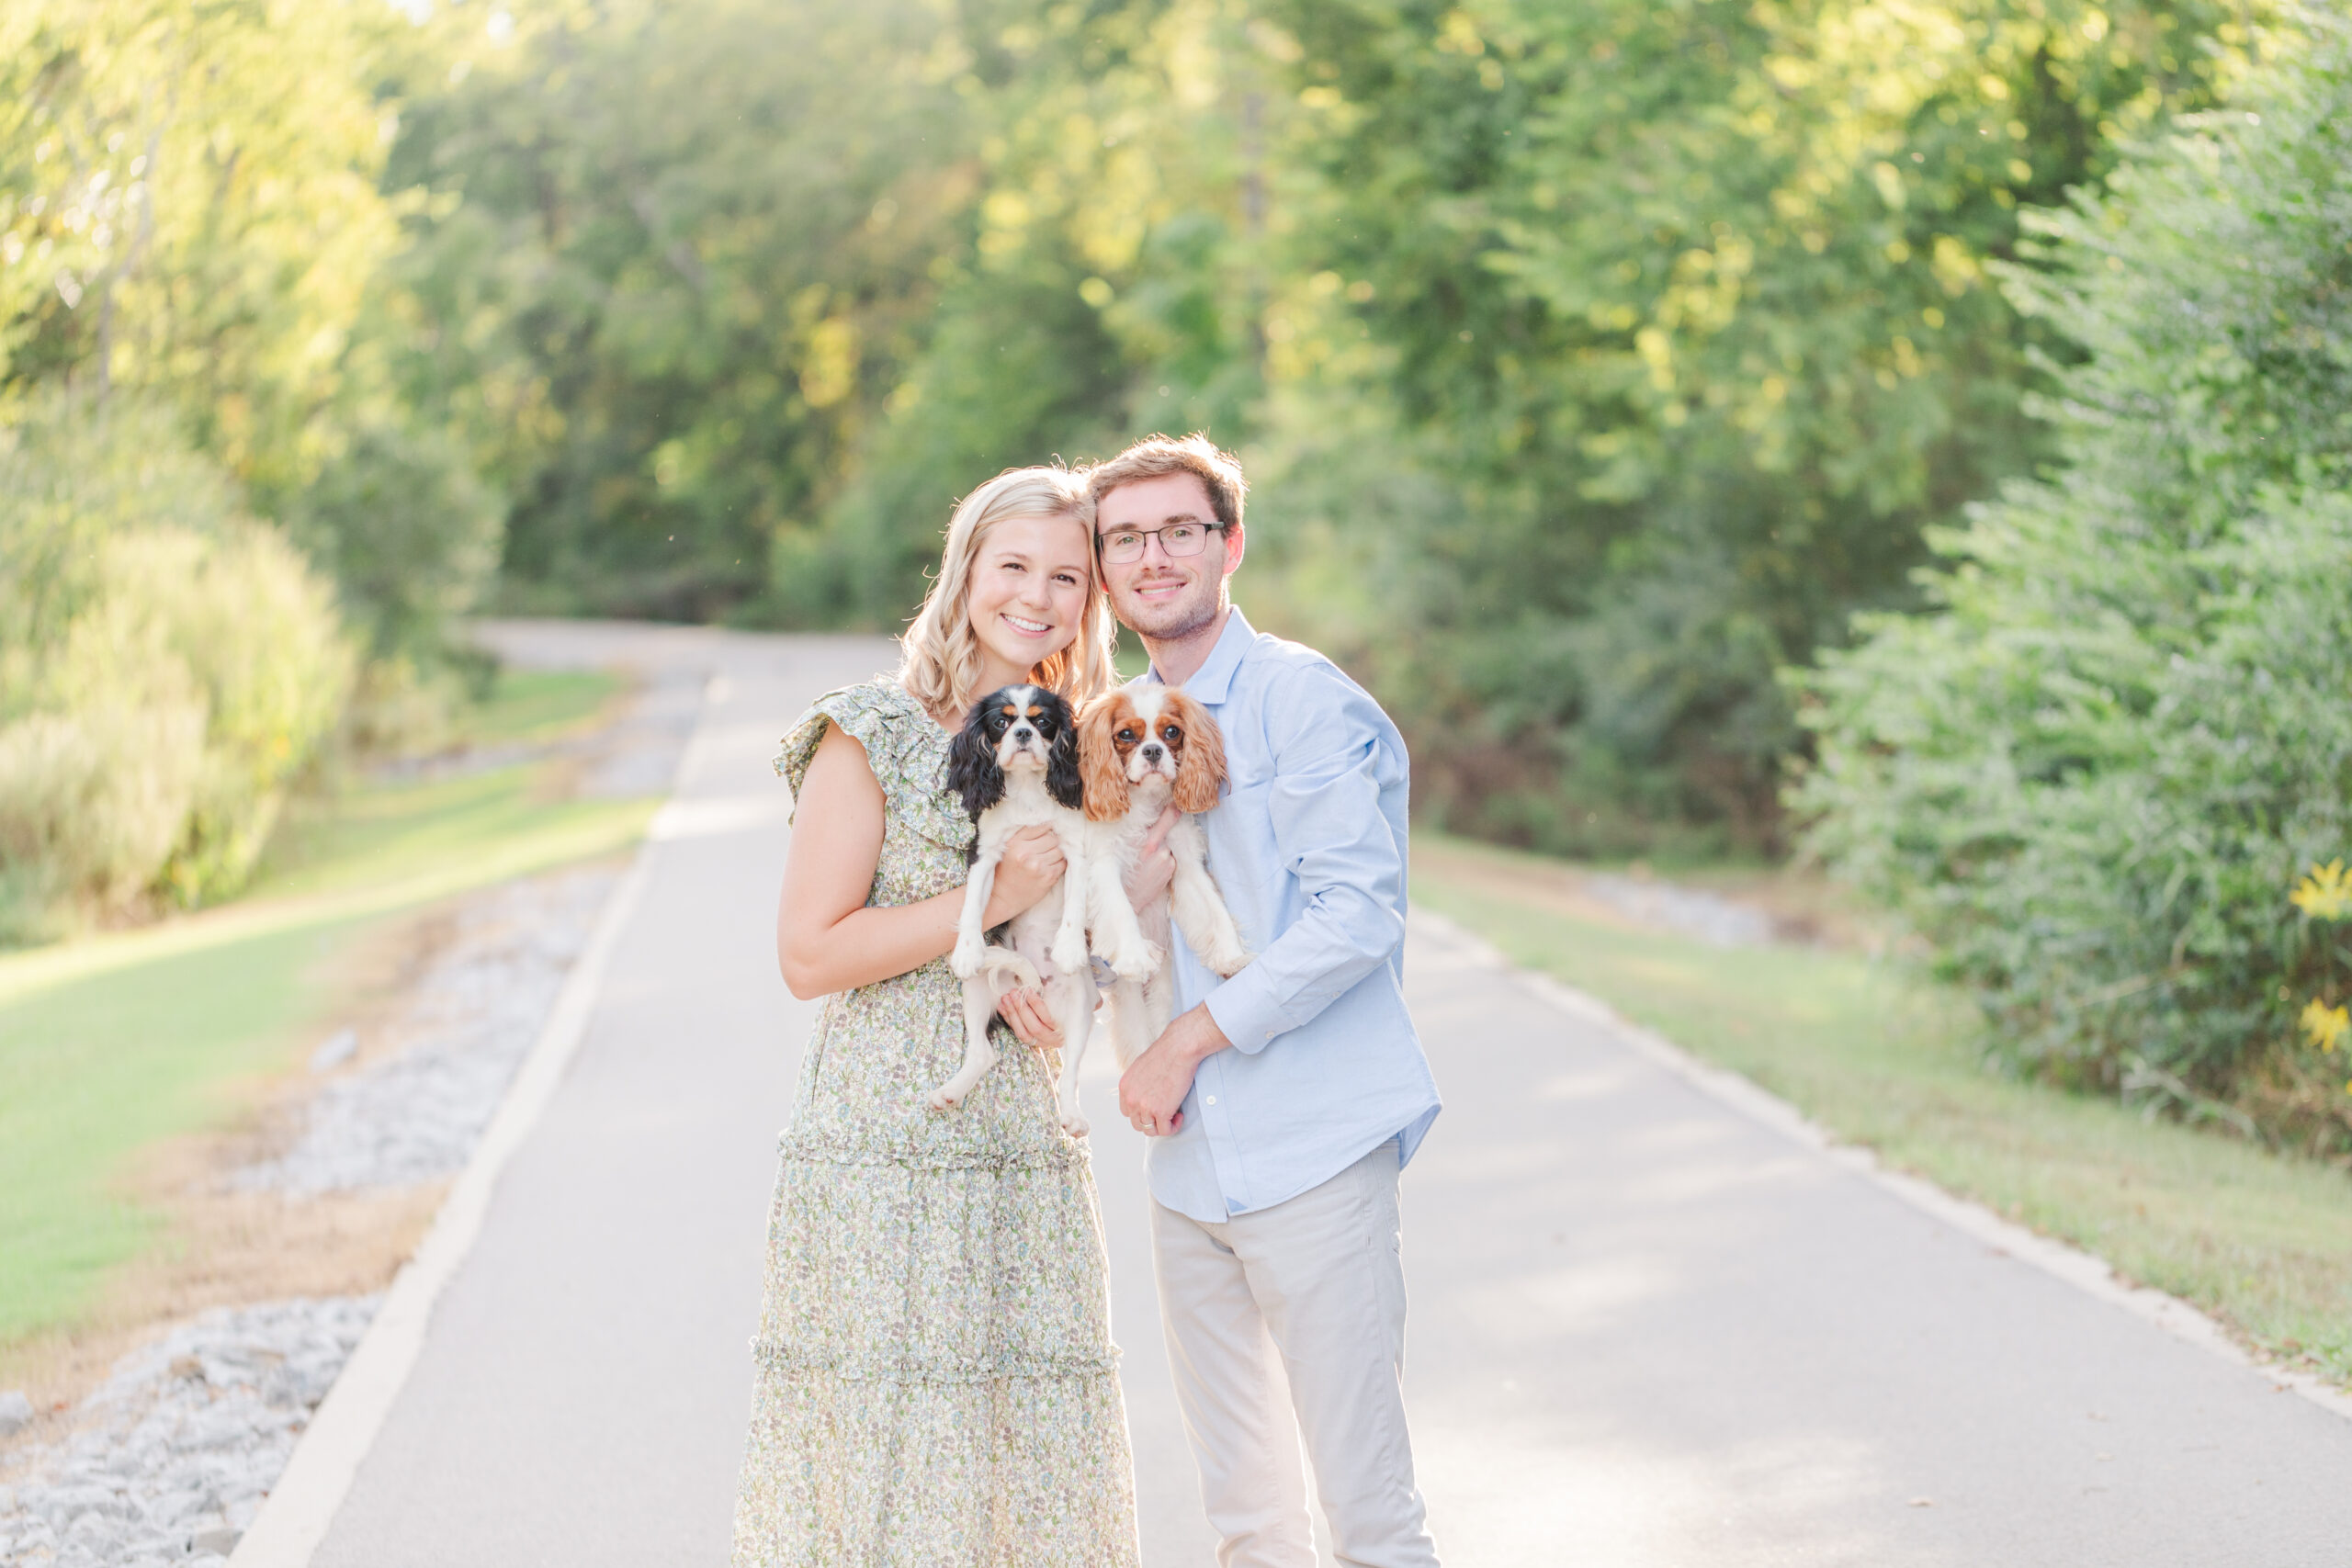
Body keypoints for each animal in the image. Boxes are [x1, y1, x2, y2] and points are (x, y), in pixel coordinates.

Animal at [935, 686, 1157, 1128]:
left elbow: (1073, 909)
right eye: (1001, 722)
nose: (1022, 733)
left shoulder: (1075, 850)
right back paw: (950, 1092)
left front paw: (1069, 949)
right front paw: (966, 949)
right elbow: (971, 906)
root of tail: (1031, 984)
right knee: (982, 1053)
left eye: (1042, 722)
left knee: (1070, 1072)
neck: (1027, 792)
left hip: (1080, 1008)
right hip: (979, 986)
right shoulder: (986, 853)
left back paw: (1072, 1116)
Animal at [1068, 686, 1250, 1128]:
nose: (1152, 751)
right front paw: (1135, 956)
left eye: (1171, 732)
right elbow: (1120, 911)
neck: (1144, 804)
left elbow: (1214, 909)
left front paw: (1231, 955)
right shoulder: (1103, 865)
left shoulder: (1183, 862)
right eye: (1126, 735)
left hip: (1163, 1001)